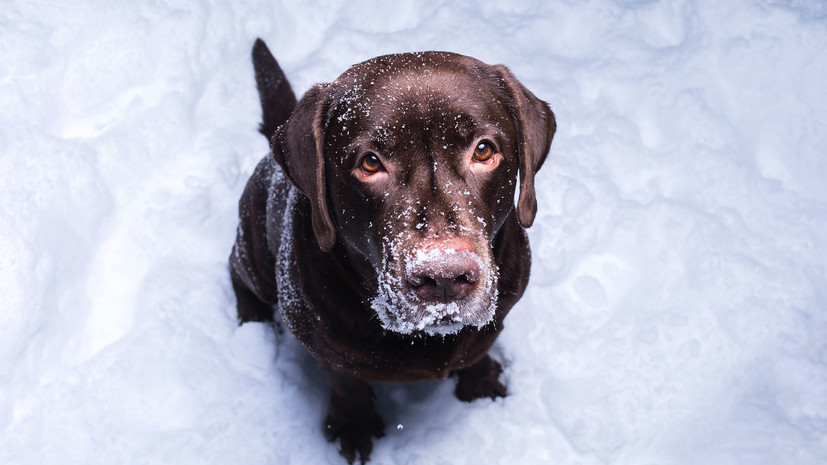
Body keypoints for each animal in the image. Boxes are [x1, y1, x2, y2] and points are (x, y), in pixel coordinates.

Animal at [228, 39, 556, 460]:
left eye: (484, 151)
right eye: (370, 163)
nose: (444, 276)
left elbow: (480, 347)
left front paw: (481, 386)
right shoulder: (322, 339)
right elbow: (346, 379)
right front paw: (354, 426)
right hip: (256, 256)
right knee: (237, 272)